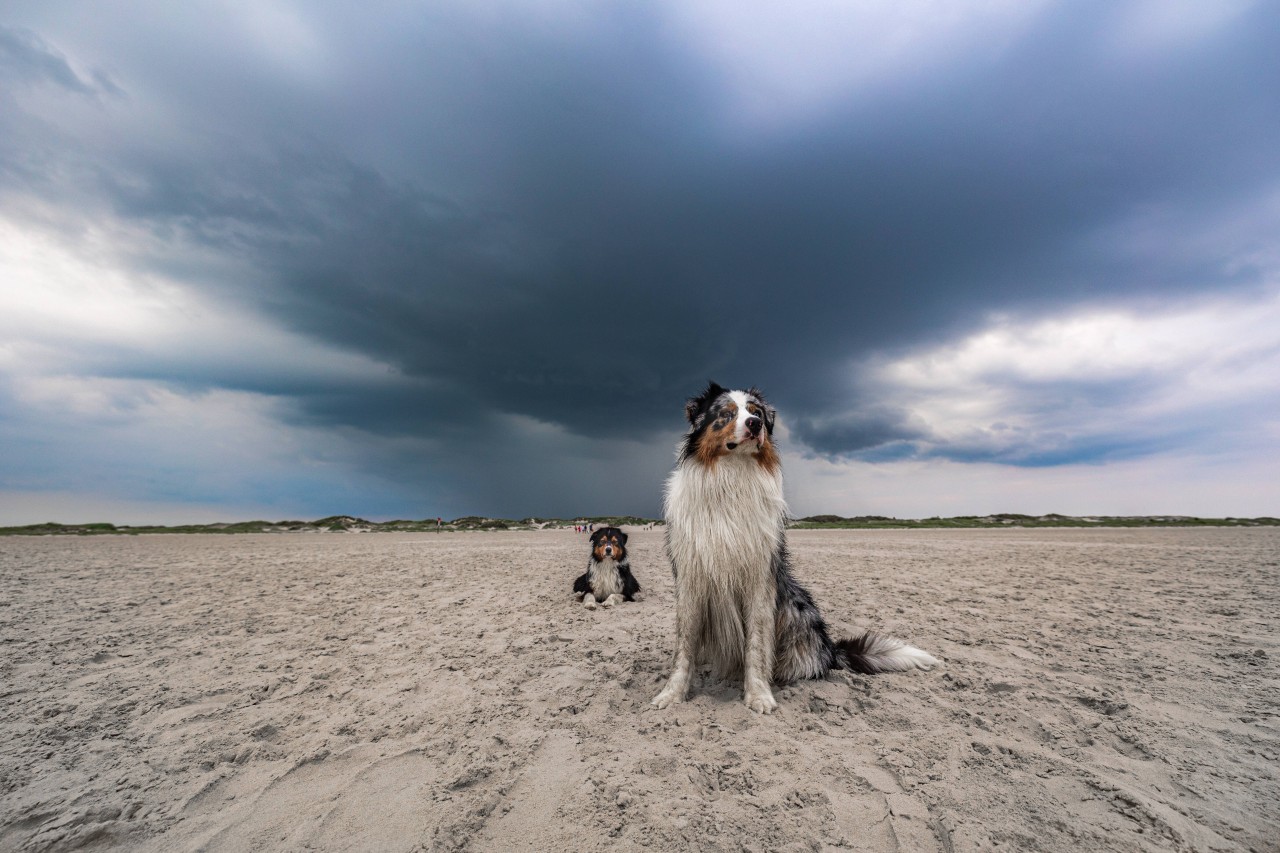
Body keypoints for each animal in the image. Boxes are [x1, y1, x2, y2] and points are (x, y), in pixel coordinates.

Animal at [650, 384, 942, 712]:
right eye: (726, 413)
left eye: (756, 412)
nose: (755, 425)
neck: (732, 475)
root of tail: (831, 650)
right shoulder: (691, 576)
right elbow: (684, 647)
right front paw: (672, 694)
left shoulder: (760, 578)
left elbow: (756, 646)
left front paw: (759, 694)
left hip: (795, 607)